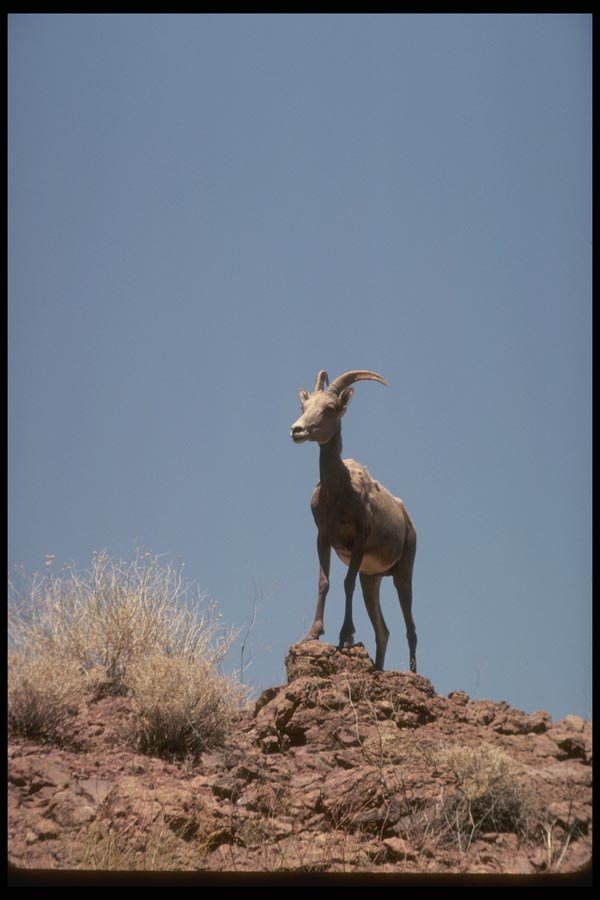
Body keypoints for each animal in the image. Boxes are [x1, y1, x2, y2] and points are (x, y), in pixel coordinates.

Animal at [290, 369, 417, 672]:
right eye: (304, 406)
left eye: (330, 408)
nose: (297, 430)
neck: (339, 494)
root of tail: (407, 518)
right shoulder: (323, 537)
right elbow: (324, 581)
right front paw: (314, 633)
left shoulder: (359, 540)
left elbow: (346, 583)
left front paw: (345, 636)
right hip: (372, 579)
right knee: (383, 631)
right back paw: (378, 669)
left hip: (404, 573)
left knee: (411, 629)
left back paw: (413, 672)